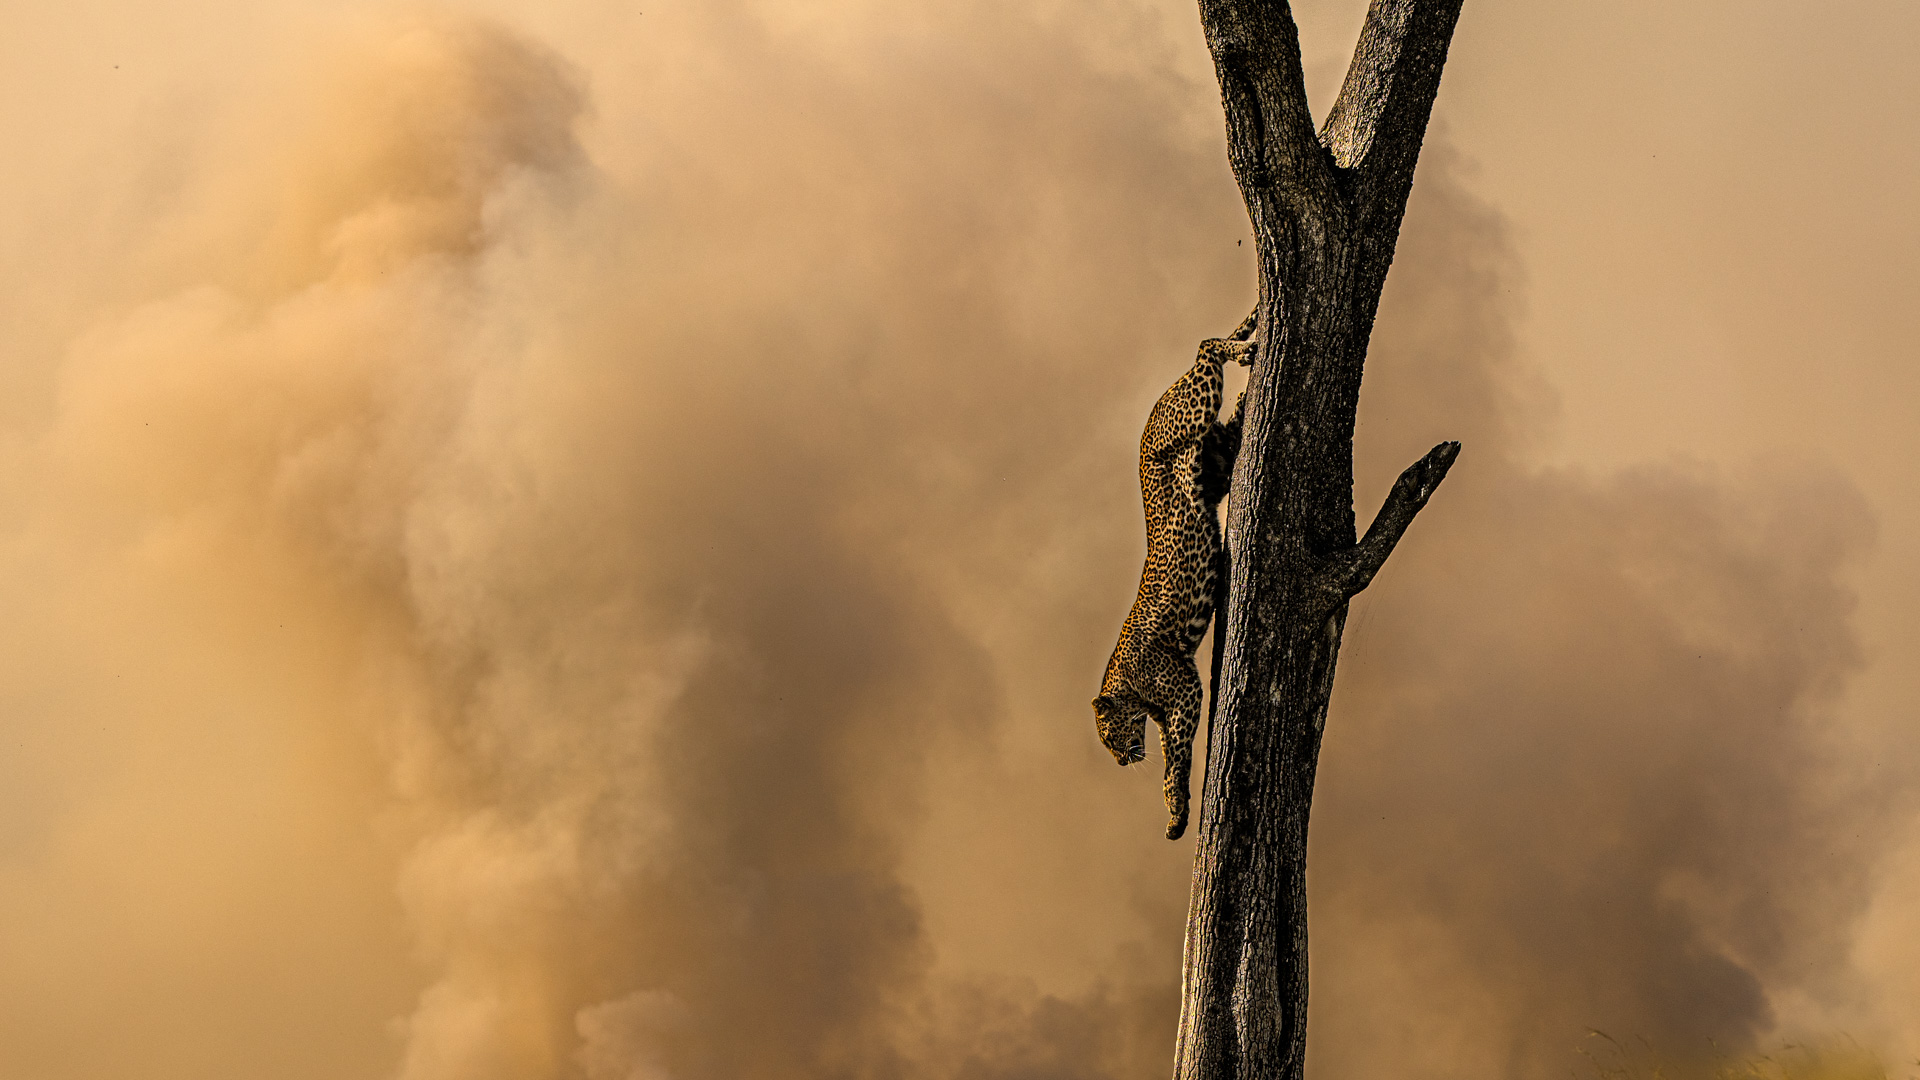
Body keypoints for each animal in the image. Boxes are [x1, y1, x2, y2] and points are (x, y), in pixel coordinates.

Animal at [1098, 307, 1259, 837]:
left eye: (1109, 738)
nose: (1121, 761)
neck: (1125, 685)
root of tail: (1147, 421)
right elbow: (1170, 749)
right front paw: (1175, 811)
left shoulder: (1184, 687)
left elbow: (1177, 755)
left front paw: (1178, 796)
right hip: (1212, 457)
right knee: (1231, 420)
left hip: (1188, 413)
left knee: (1205, 349)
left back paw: (1243, 352)